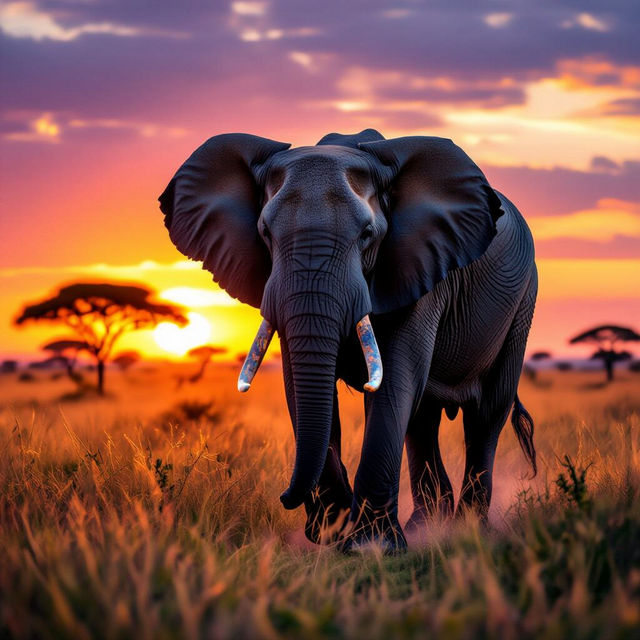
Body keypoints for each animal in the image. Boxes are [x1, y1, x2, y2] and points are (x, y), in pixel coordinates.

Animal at [159, 128, 537, 553]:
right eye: (265, 234)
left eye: (367, 235)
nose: (285, 497)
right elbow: (298, 384)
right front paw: (333, 534)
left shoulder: (420, 268)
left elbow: (395, 380)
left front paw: (372, 546)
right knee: (422, 420)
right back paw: (427, 526)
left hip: (523, 302)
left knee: (486, 413)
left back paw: (468, 530)